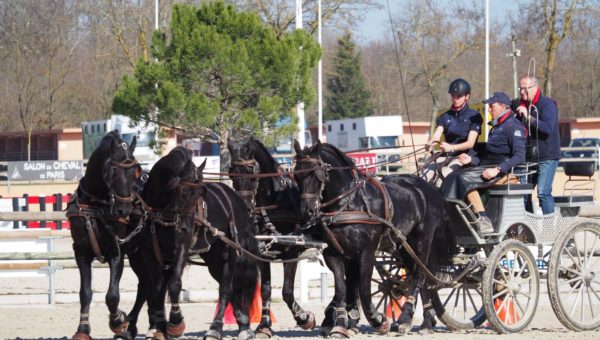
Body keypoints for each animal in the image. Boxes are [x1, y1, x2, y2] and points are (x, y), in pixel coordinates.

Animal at [67, 131, 142, 340]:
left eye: (135, 172)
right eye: (113, 170)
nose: (124, 209)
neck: (94, 206)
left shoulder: (116, 252)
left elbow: (112, 296)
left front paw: (118, 322)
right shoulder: (81, 252)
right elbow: (85, 292)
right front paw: (83, 329)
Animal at [137, 147, 258, 340]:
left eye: (201, 194)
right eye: (180, 190)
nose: (185, 228)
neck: (161, 210)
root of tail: (237, 199)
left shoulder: (181, 247)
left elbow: (174, 284)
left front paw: (175, 324)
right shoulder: (150, 252)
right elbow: (157, 288)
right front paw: (159, 327)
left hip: (228, 253)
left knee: (226, 288)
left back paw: (216, 328)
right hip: (212, 258)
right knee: (229, 287)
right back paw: (243, 325)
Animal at [227, 137, 316, 336]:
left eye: (253, 175)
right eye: (231, 174)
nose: (243, 209)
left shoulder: (291, 253)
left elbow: (287, 291)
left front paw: (304, 318)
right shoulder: (263, 254)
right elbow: (266, 290)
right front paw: (264, 324)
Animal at [292, 141, 452, 338]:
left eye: (316, 173)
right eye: (296, 175)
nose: (306, 212)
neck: (349, 203)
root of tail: (430, 188)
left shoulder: (366, 253)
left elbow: (363, 289)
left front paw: (378, 320)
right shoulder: (334, 254)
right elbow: (342, 289)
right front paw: (341, 325)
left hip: (422, 240)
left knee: (420, 276)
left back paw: (405, 319)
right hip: (404, 246)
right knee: (417, 274)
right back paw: (426, 322)